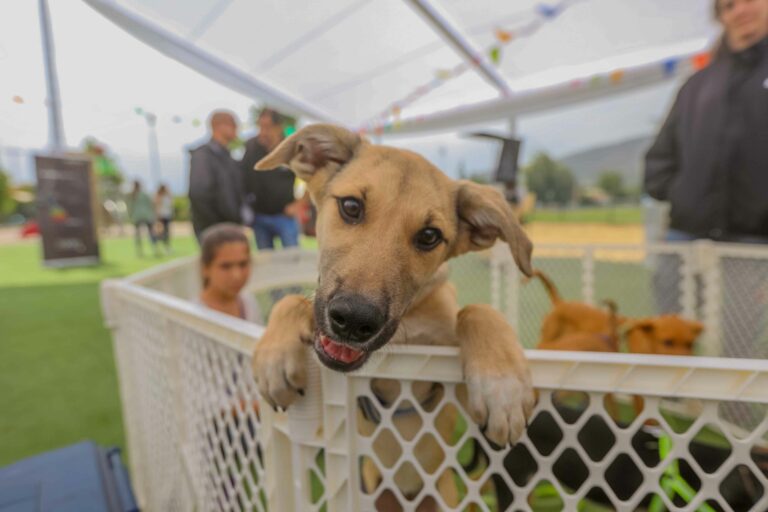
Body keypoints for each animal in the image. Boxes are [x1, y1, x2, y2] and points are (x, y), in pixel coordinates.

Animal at [250, 126, 536, 474]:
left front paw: (502, 385)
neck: (408, 320)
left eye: (429, 236)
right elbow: (292, 300)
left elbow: (476, 309)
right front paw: (274, 355)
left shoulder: (443, 388)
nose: (354, 320)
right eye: (351, 206)